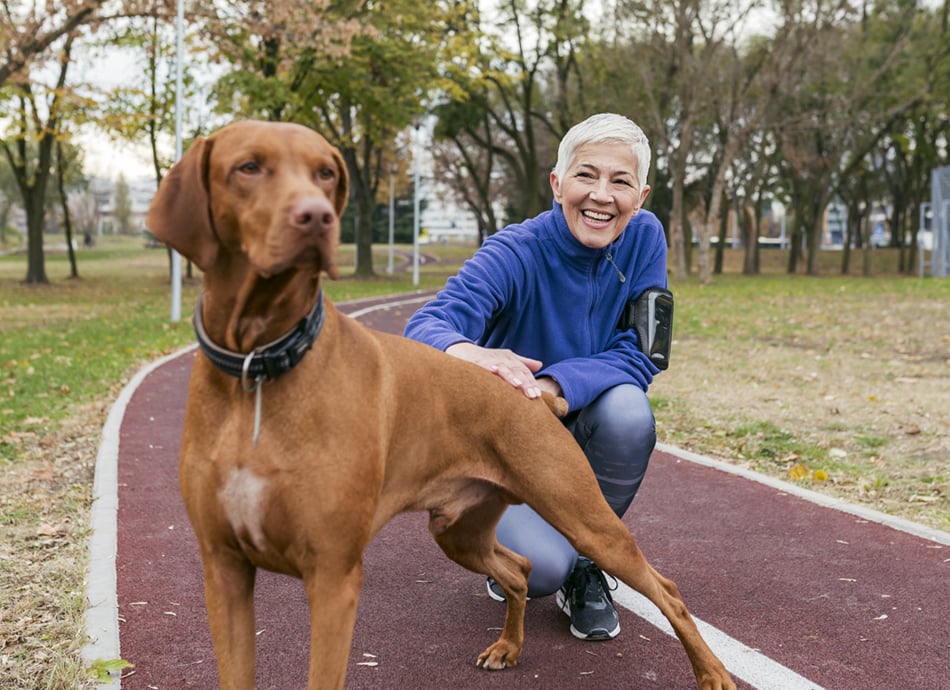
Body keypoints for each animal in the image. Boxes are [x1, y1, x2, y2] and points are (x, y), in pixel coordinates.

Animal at [149, 121, 740, 684]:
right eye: (248, 167)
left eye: (326, 173)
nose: (317, 217)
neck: (258, 367)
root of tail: (534, 400)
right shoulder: (224, 570)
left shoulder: (333, 574)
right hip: (459, 531)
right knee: (520, 569)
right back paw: (508, 647)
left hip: (583, 515)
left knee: (665, 589)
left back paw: (712, 674)